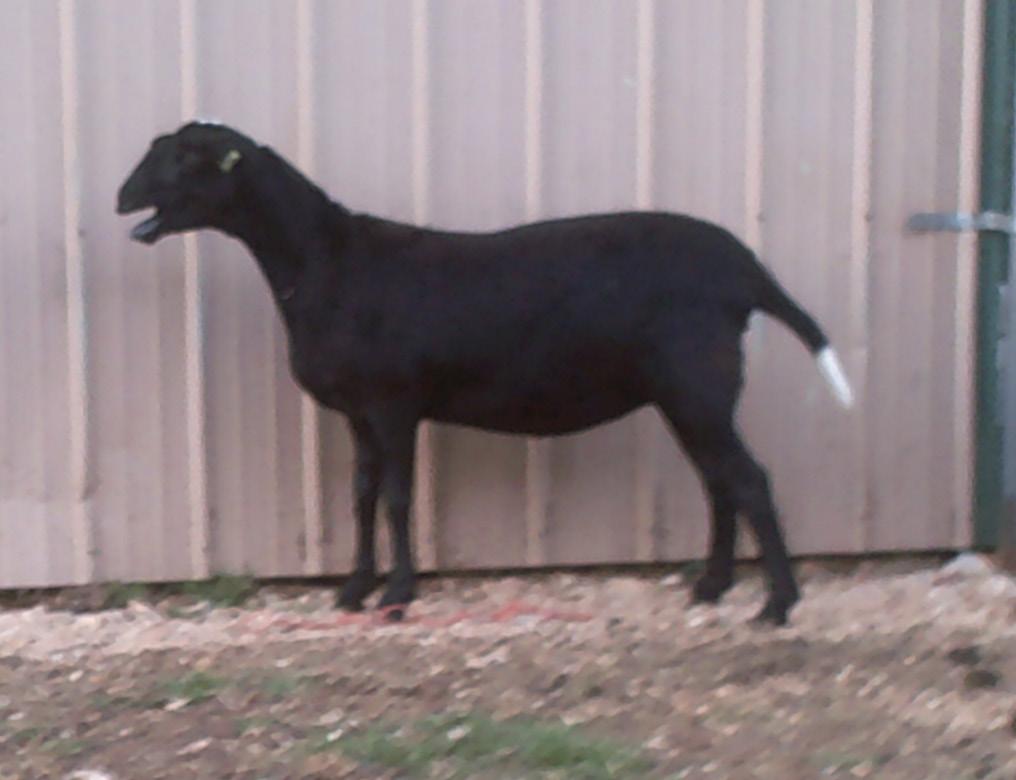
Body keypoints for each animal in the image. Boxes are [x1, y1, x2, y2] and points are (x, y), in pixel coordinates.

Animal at [116, 121, 853, 625]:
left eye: (184, 157)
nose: (123, 196)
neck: (323, 262)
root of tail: (745, 272)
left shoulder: (393, 402)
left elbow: (396, 497)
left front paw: (398, 593)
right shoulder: (358, 411)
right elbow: (360, 496)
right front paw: (353, 589)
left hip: (699, 383)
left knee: (749, 481)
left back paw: (777, 605)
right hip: (685, 394)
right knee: (719, 483)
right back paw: (711, 587)